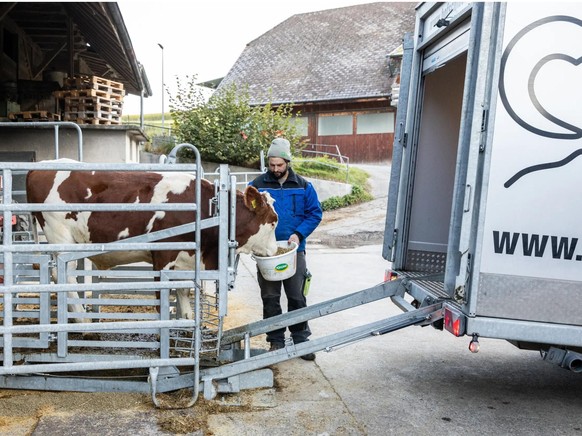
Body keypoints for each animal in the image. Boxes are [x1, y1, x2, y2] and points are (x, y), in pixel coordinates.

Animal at [27, 167, 280, 320]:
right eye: (274, 221)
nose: (274, 250)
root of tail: (39, 168)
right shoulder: (162, 254)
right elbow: (163, 296)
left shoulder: (185, 257)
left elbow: (183, 290)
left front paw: (186, 320)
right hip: (61, 239)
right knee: (63, 277)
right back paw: (82, 321)